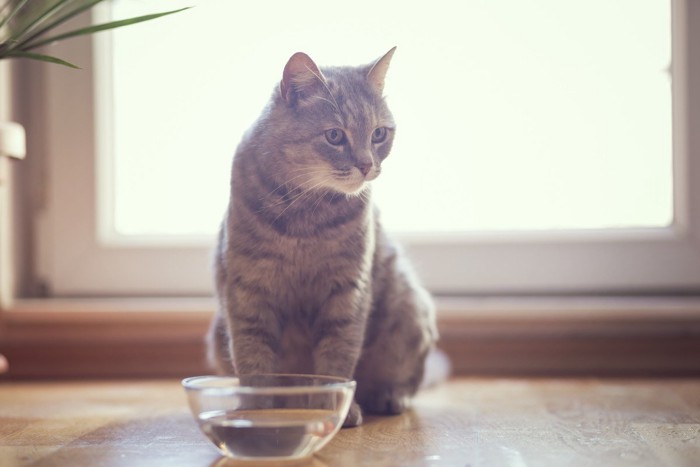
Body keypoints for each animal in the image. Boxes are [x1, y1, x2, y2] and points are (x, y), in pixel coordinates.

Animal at [205, 48, 440, 428]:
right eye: (334, 136)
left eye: (379, 134)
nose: (366, 165)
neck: (306, 214)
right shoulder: (248, 291)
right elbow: (253, 358)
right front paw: (256, 410)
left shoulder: (348, 289)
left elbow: (338, 357)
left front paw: (334, 407)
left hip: (409, 306)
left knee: (402, 382)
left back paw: (388, 397)